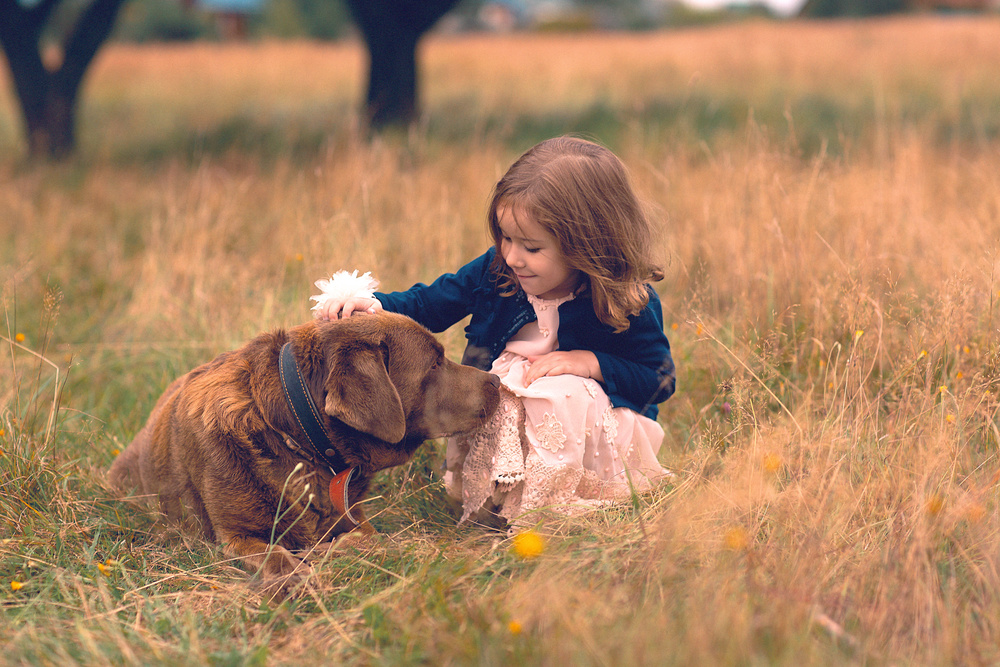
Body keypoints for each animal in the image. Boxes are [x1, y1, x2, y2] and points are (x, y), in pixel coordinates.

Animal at [111, 314, 500, 596]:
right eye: (434, 364)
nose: (496, 381)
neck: (294, 438)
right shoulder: (235, 535)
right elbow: (275, 555)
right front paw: (296, 575)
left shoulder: (356, 517)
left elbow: (363, 539)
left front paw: (321, 553)